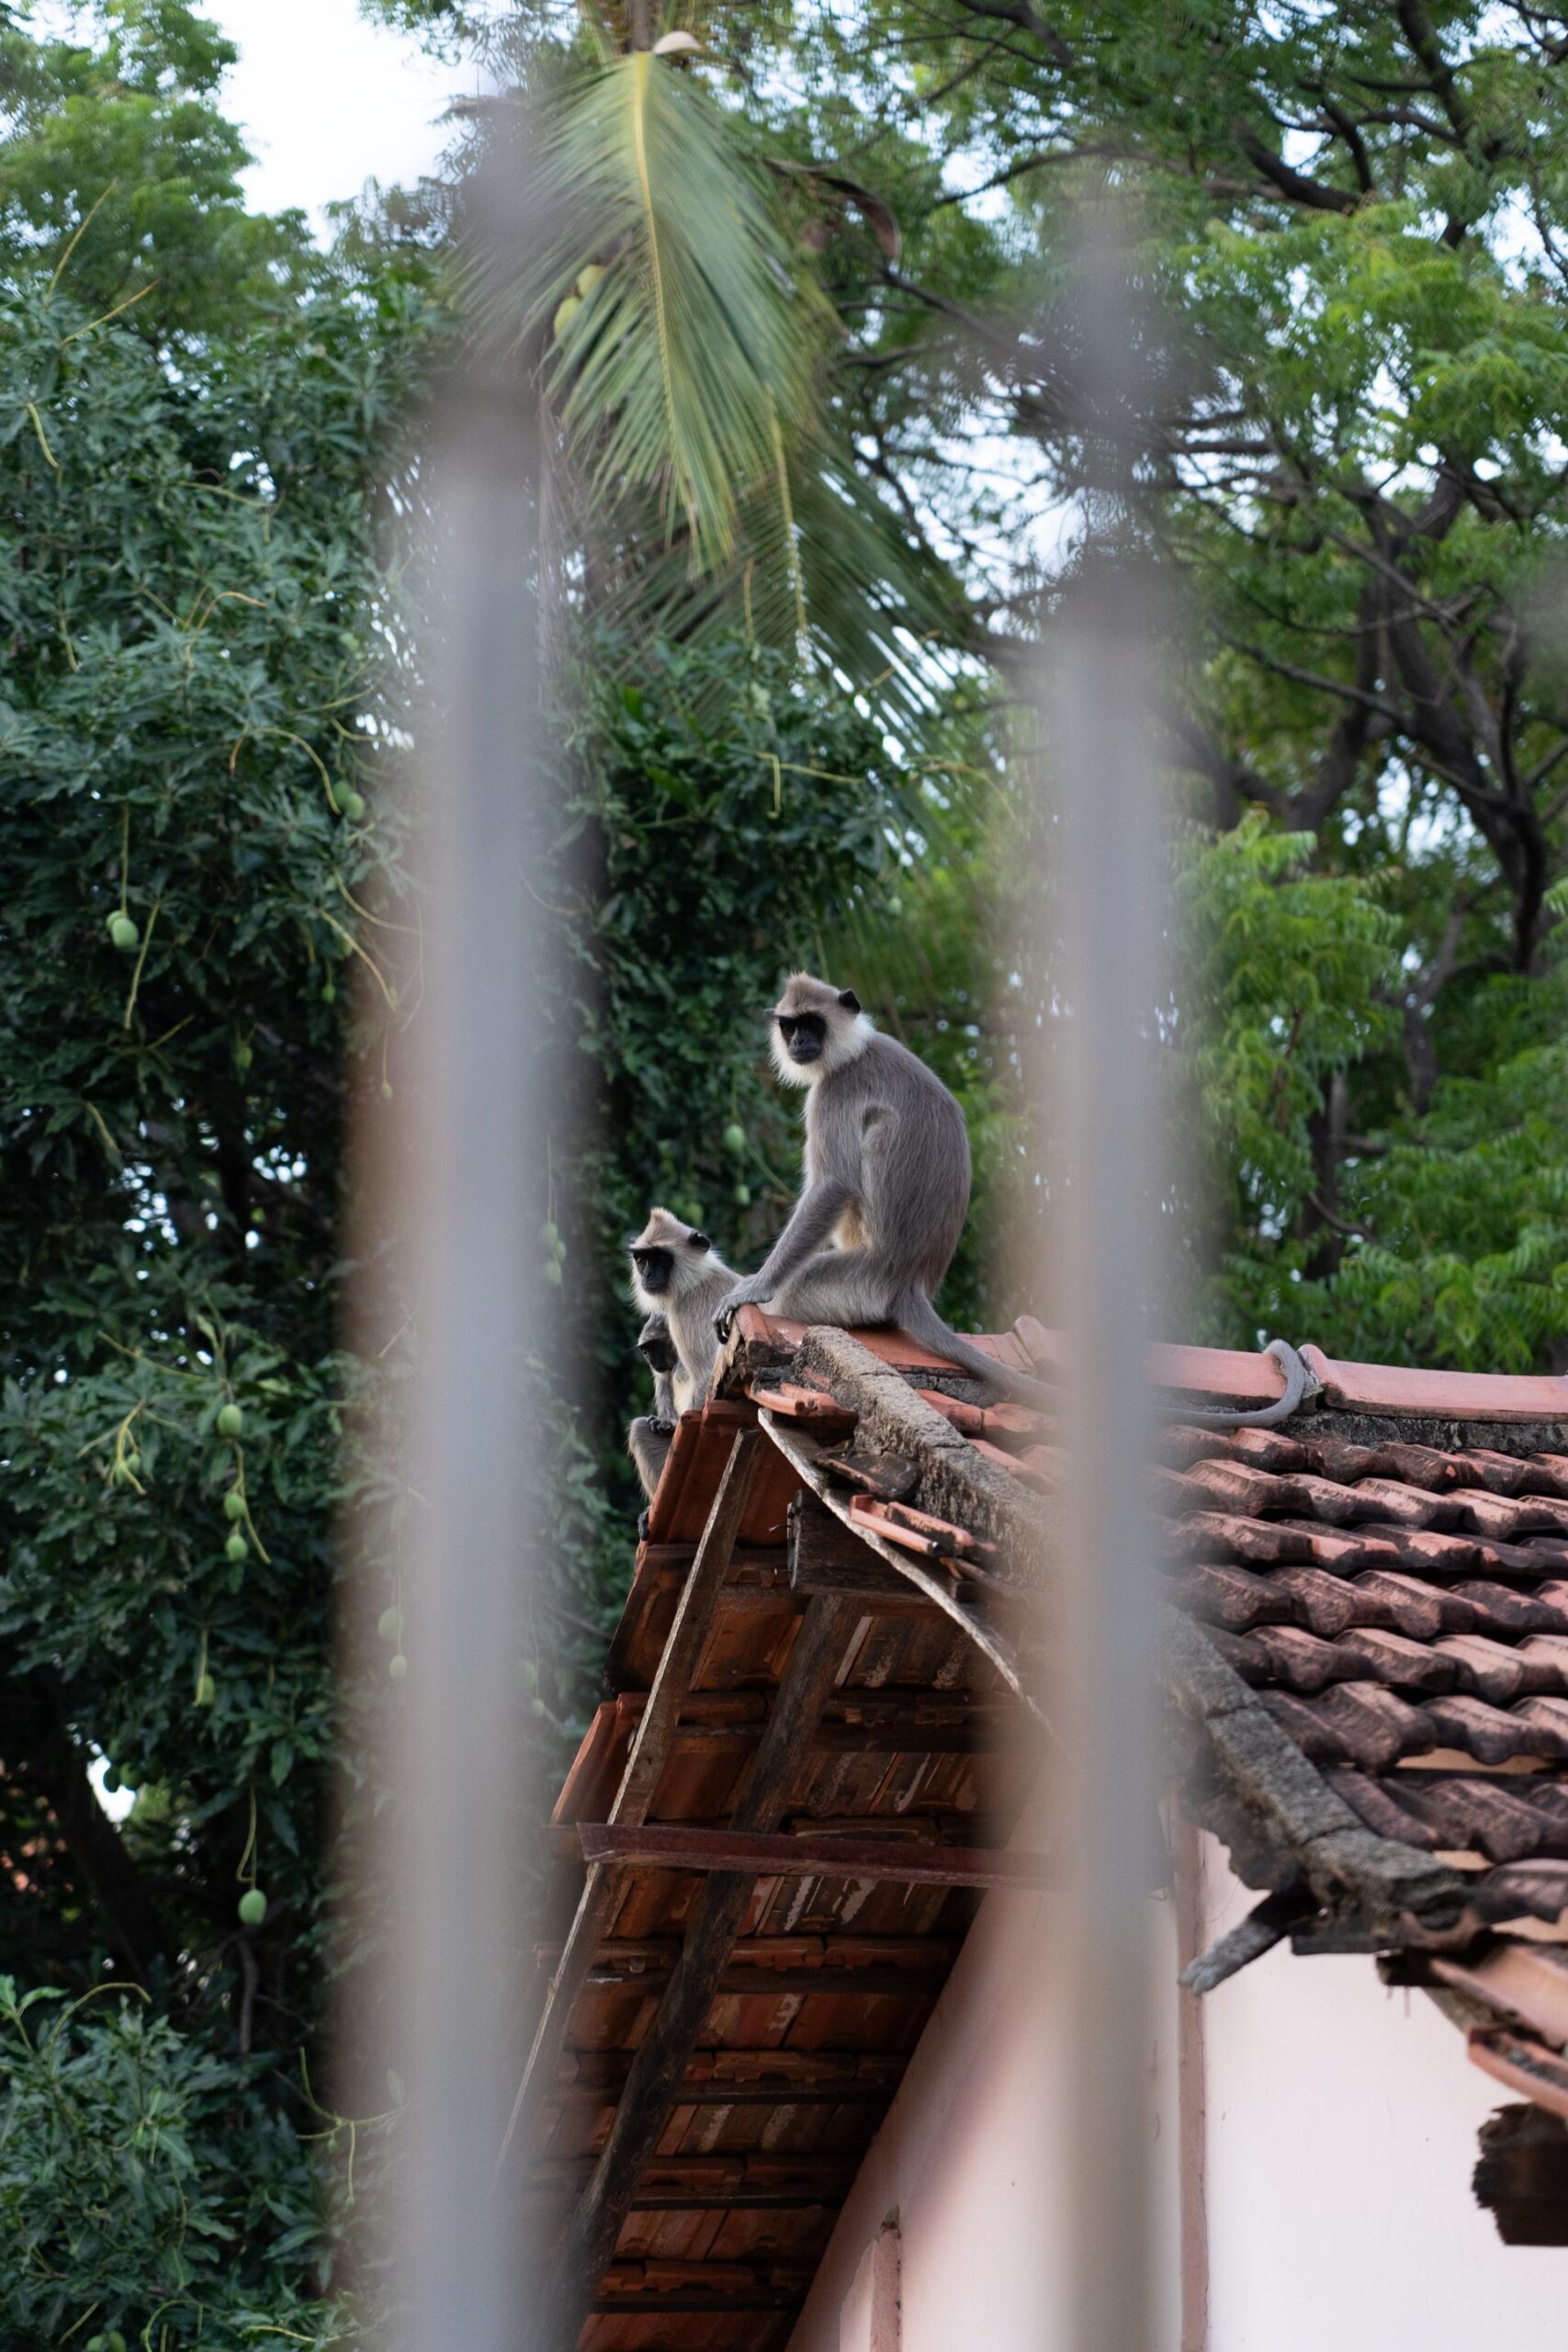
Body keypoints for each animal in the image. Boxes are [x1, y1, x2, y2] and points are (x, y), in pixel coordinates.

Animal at [709, 968, 1053, 1401]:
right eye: (790, 1026)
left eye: (812, 1024)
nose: (798, 1043)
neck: (854, 1050)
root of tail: (911, 1282)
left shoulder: (835, 1090)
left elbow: (834, 1184)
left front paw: (755, 1286)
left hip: (857, 1283)